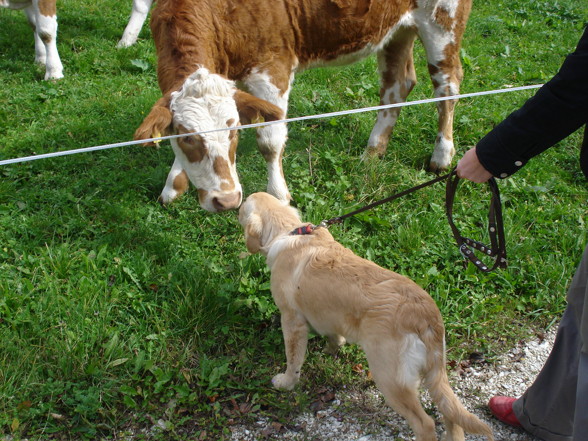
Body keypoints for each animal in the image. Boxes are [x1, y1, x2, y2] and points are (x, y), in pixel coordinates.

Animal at [136, 0, 470, 211]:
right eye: (186, 137)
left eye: (234, 132)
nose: (227, 200)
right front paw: (173, 184)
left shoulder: (272, 70)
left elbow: (270, 141)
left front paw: (278, 194)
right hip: (397, 31)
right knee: (397, 84)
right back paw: (373, 151)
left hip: (443, 23)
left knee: (447, 86)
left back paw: (442, 154)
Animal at [237, 192, 494, 440]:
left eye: (243, 205)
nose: (236, 205)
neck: (289, 231)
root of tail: (424, 314)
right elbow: (333, 336)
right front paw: (332, 349)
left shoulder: (292, 320)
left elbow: (293, 360)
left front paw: (286, 382)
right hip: (435, 375)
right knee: (452, 416)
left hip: (390, 379)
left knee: (426, 424)